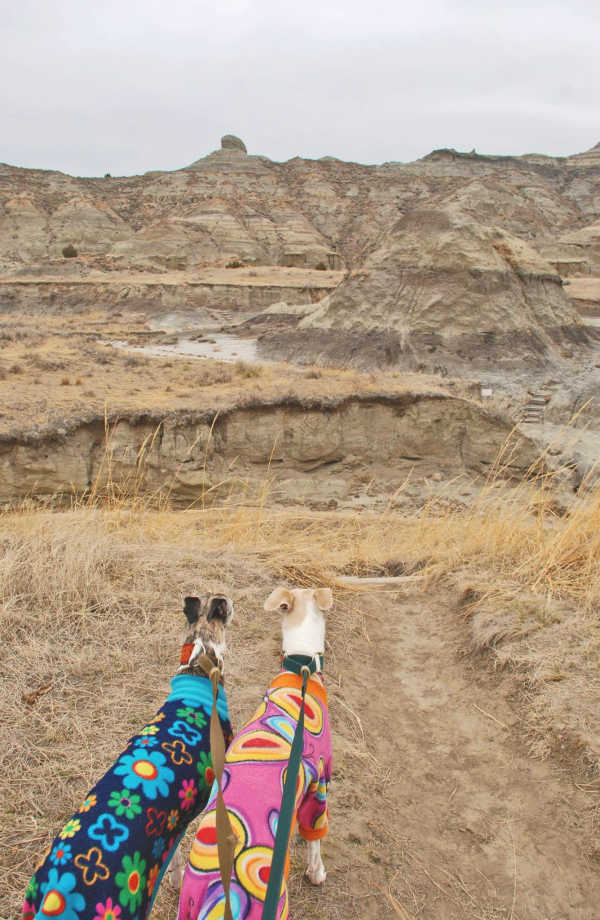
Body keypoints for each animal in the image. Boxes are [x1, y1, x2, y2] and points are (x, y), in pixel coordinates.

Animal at [176, 584, 336, 920]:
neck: (301, 667)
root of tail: (219, 900)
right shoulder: (321, 780)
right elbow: (315, 836)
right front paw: (316, 872)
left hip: (186, 906)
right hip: (275, 904)